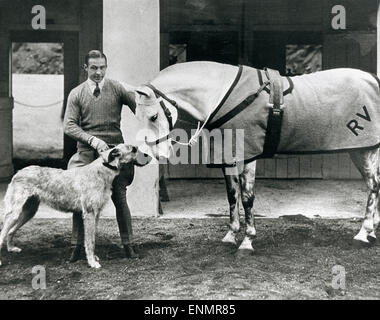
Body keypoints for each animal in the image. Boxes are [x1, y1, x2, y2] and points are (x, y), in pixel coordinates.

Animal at [0, 144, 151, 268]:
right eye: (134, 149)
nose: (150, 157)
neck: (102, 169)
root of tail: (18, 172)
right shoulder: (89, 214)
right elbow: (89, 241)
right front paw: (92, 262)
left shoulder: (96, 214)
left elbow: (92, 238)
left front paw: (93, 258)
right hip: (15, 212)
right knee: (3, 233)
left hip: (28, 211)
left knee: (10, 231)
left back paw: (11, 248)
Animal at [133, 61, 380, 251]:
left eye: (153, 116)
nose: (146, 155)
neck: (222, 95)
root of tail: (372, 79)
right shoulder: (229, 155)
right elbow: (232, 195)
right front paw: (231, 235)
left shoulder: (248, 155)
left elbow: (247, 197)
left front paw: (247, 240)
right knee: (374, 184)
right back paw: (372, 230)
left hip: (364, 149)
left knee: (373, 185)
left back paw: (363, 232)